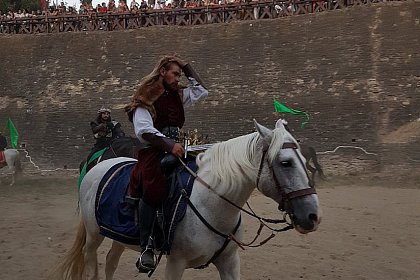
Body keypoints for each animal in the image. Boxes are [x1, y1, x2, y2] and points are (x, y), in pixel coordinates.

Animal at [54, 119, 320, 278]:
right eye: (285, 163)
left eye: (304, 160)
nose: (312, 215)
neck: (212, 204)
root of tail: (99, 166)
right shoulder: (175, 263)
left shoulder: (229, 261)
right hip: (93, 236)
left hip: (119, 234)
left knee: (111, 260)